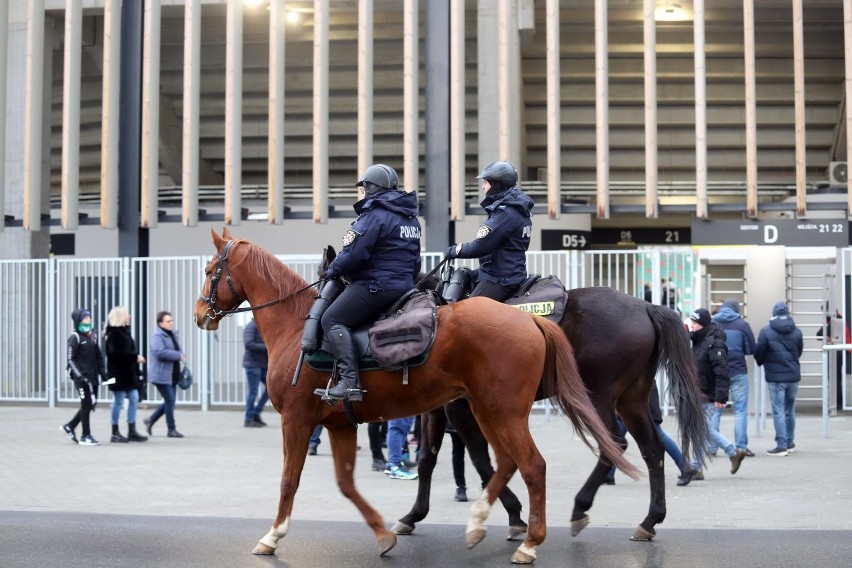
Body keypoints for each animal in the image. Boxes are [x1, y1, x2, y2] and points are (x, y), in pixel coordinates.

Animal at [191, 230, 632, 564]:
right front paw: (384, 532)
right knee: (510, 462)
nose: (198, 314)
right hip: (490, 410)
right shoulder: (340, 425)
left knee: (535, 465)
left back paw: (530, 541)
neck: (296, 324)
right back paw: (483, 522)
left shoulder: (296, 420)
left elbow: (289, 479)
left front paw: (273, 535)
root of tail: (530, 320)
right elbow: (349, 483)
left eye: (212, 271)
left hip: (505, 412)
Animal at [392, 284, 704, 540]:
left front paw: (514, 514)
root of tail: (645, 307)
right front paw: (413, 515)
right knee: (652, 447)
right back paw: (649, 520)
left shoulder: (460, 407)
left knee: (616, 443)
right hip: (632, 399)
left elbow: (481, 460)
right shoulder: (434, 409)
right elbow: (426, 460)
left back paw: (581, 506)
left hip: (599, 397)